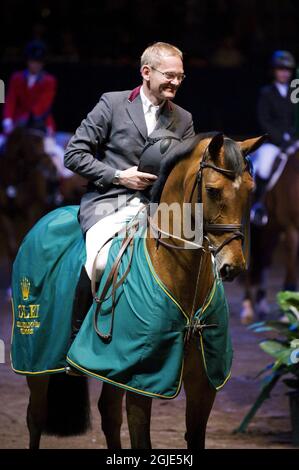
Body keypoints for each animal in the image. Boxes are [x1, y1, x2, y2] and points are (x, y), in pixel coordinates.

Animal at [22, 132, 264, 448]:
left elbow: (195, 435)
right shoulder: (143, 380)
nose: (232, 266)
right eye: (212, 191)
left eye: (250, 189)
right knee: (36, 417)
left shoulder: (204, 383)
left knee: (108, 413)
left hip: (113, 369)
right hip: (37, 361)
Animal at [240, 150, 299, 324]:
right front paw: (287, 314)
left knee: (265, 259)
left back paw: (262, 304)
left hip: (271, 229)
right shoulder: (292, 228)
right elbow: (291, 266)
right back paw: (247, 307)